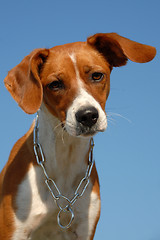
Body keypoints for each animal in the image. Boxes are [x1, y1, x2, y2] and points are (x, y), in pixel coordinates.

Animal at [0, 32, 156, 239]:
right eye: (55, 84)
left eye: (97, 75)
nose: (88, 115)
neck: (65, 156)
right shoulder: (15, 230)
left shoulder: (84, 228)